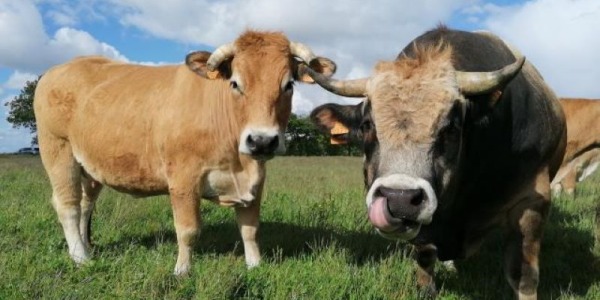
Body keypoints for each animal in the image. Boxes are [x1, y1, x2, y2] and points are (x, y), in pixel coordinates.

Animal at [34, 29, 338, 274]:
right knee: (68, 205)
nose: (262, 141)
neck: (237, 161)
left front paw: (255, 265)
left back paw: (87, 247)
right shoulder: (183, 179)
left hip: (90, 167)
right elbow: (188, 230)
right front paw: (182, 271)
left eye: (288, 85)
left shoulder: (255, 181)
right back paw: (80, 258)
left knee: (86, 205)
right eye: (235, 83)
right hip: (58, 150)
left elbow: (250, 229)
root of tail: (60, 68)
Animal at [308, 27, 564, 298]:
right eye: (367, 125)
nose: (399, 199)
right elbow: (424, 256)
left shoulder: (532, 201)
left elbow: (522, 274)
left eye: (451, 127)